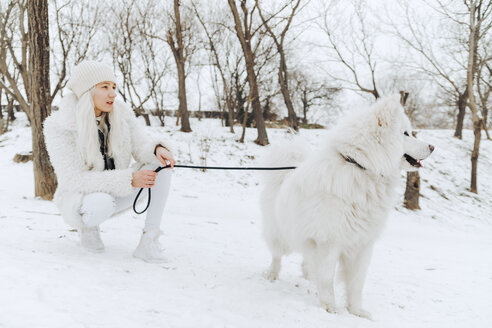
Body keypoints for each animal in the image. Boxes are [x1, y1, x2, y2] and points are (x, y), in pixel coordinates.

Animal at [260, 94, 432, 318]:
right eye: (405, 133)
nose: (432, 147)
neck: (361, 167)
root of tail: (283, 174)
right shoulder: (329, 241)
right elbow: (327, 278)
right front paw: (329, 307)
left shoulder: (362, 245)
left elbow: (356, 283)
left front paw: (357, 311)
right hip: (281, 233)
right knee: (277, 256)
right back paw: (272, 274)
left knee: (307, 260)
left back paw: (309, 276)